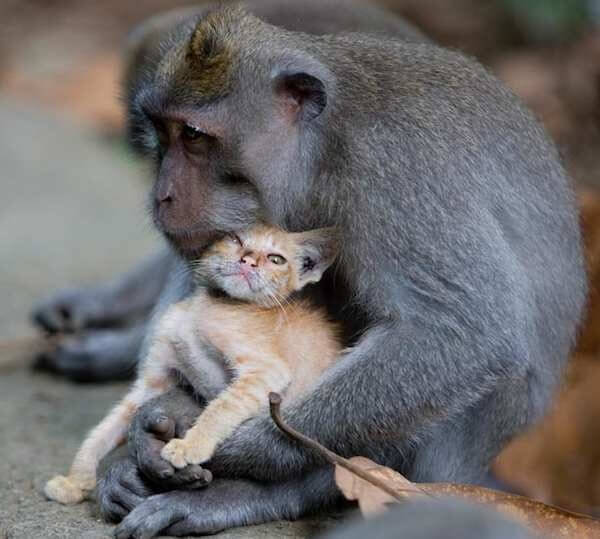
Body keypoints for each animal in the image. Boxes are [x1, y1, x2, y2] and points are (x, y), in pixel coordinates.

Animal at [44, 224, 342, 506]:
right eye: (235, 239)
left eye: (276, 259)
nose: (248, 261)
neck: (206, 305)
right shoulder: (153, 380)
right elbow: (107, 427)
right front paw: (75, 481)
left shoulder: (266, 371)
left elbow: (221, 407)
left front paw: (189, 446)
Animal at [82, 5, 584, 539]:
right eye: (163, 132)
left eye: (194, 136)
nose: (162, 195)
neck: (325, 148)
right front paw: (152, 423)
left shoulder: (393, 171)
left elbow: (465, 334)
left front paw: (244, 448)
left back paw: (259, 493)